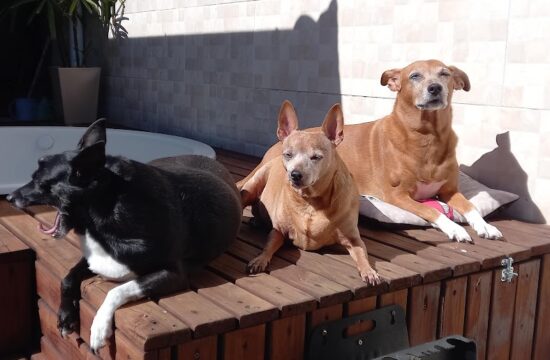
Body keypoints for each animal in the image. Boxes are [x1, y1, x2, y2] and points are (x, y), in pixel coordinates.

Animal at [7, 119, 242, 352]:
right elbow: (67, 278)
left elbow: (117, 290)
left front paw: (98, 329)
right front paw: (66, 317)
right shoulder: (94, 259)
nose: (9, 197)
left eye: (39, 181)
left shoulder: (174, 273)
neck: (108, 210)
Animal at [239, 60, 506, 243]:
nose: (435, 88)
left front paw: (485, 226)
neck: (428, 137)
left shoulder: (450, 191)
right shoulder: (397, 196)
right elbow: (431, 210)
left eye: (445, 74)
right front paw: (455, 228)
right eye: (415, 76)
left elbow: (470, 207)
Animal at [242, 100, 380, 284]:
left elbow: (361, 253)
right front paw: (260, 259)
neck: (310, 201)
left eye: (316, 157)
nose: (295, 174)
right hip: (253, 185)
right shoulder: (278, 231)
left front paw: (369, 270)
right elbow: (268, 246)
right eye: (288, 155)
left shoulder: (353, 238)